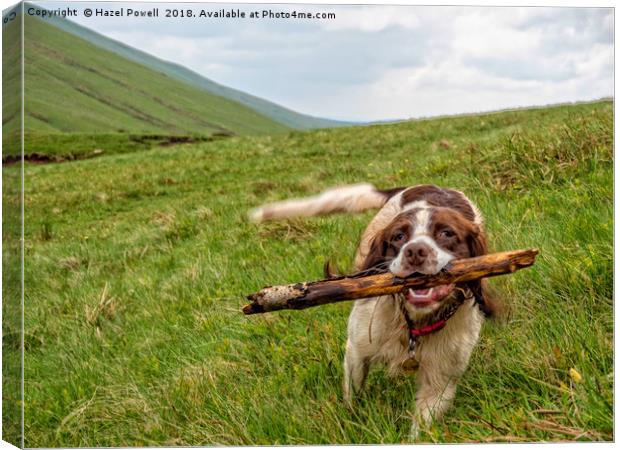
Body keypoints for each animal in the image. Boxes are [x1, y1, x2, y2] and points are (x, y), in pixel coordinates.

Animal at [249, 184, 496, 440]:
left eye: (447, 233)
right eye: (398, 237)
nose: (415, 251)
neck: (413, 324)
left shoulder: (441, 380)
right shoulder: (357, 350)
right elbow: (353, 397)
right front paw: (351, 426)